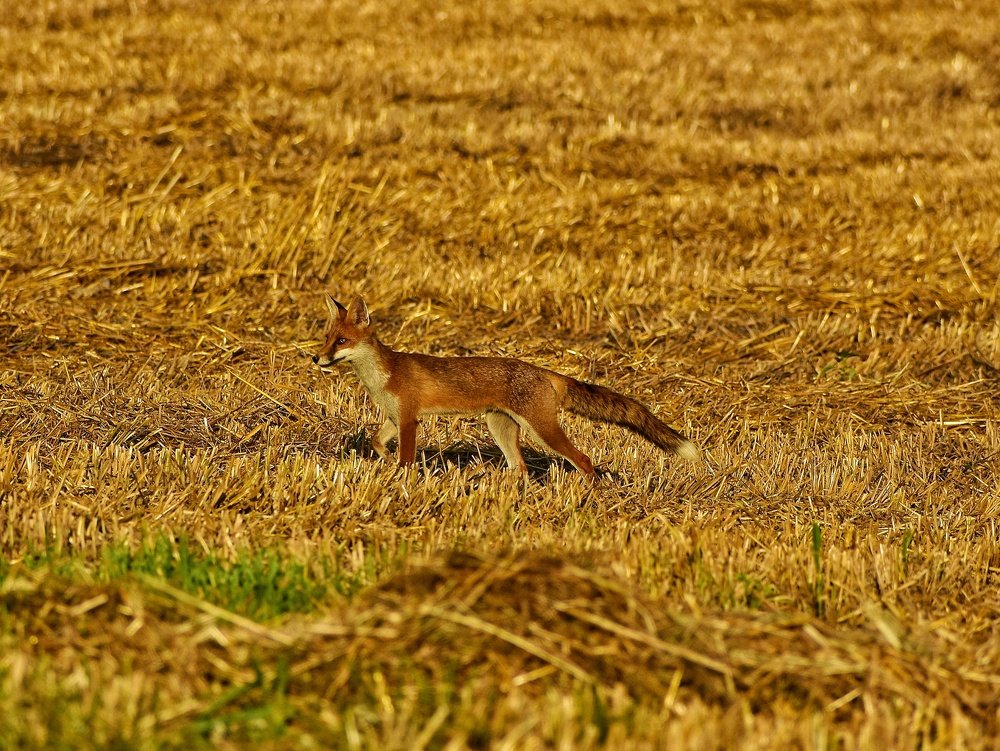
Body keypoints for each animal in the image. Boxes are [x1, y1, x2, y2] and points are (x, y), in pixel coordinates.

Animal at [312, 295, 699, 477]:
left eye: (342, 341)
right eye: (326, 338)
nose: (316, 359)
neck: (383, 375)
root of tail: (544, 372)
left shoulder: (409, 419)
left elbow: (406, 460)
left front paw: (402, 479)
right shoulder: (394, 418)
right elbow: (377, 443)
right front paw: (385, 462)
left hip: (543, 430)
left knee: (584, 460)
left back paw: (585, 495)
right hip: (500, 426)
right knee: (520, 468)